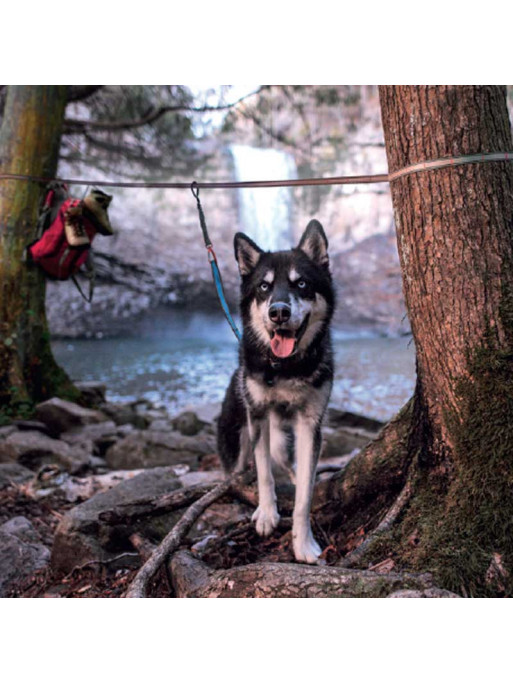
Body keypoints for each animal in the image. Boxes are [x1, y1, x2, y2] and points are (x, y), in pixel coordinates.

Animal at [217, 219, 334, 560]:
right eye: (264, 287)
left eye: (301, 284)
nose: (278, 312)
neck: (286, 368)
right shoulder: (257, 416)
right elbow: (264, 473)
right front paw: (267, 514)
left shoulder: (310, 425)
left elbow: (304, 492)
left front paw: (303, 543)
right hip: (237, 444)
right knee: (242, 471)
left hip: (283, 443)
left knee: (289, 466)